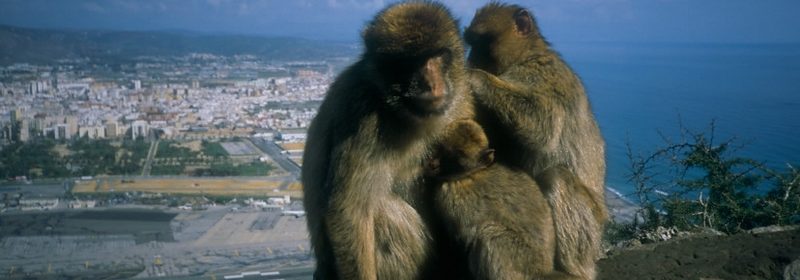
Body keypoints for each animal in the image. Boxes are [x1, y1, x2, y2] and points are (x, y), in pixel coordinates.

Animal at [302, 2, 476, 280]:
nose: (431, 83)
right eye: (411, 61)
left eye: (438, 55)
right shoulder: (362, 118)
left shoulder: (460, 99)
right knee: (381, 212)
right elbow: (349, 211)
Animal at [428, 119, 584, 278]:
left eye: (454, 160)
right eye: (442, 150)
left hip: (523, 262)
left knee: (491, 235)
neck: (472, 173)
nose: (433, 165)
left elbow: (464, 236)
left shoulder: (447, 196)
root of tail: (544, 270)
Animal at [462, 2, 608, 280]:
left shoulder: (540, 74)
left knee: (556, 177)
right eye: (471, 43)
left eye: (482, 42)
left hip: (591, 232)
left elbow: (543, 125)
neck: (527, 55)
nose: (470, 58)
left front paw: (474, 77)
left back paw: (573, 270)